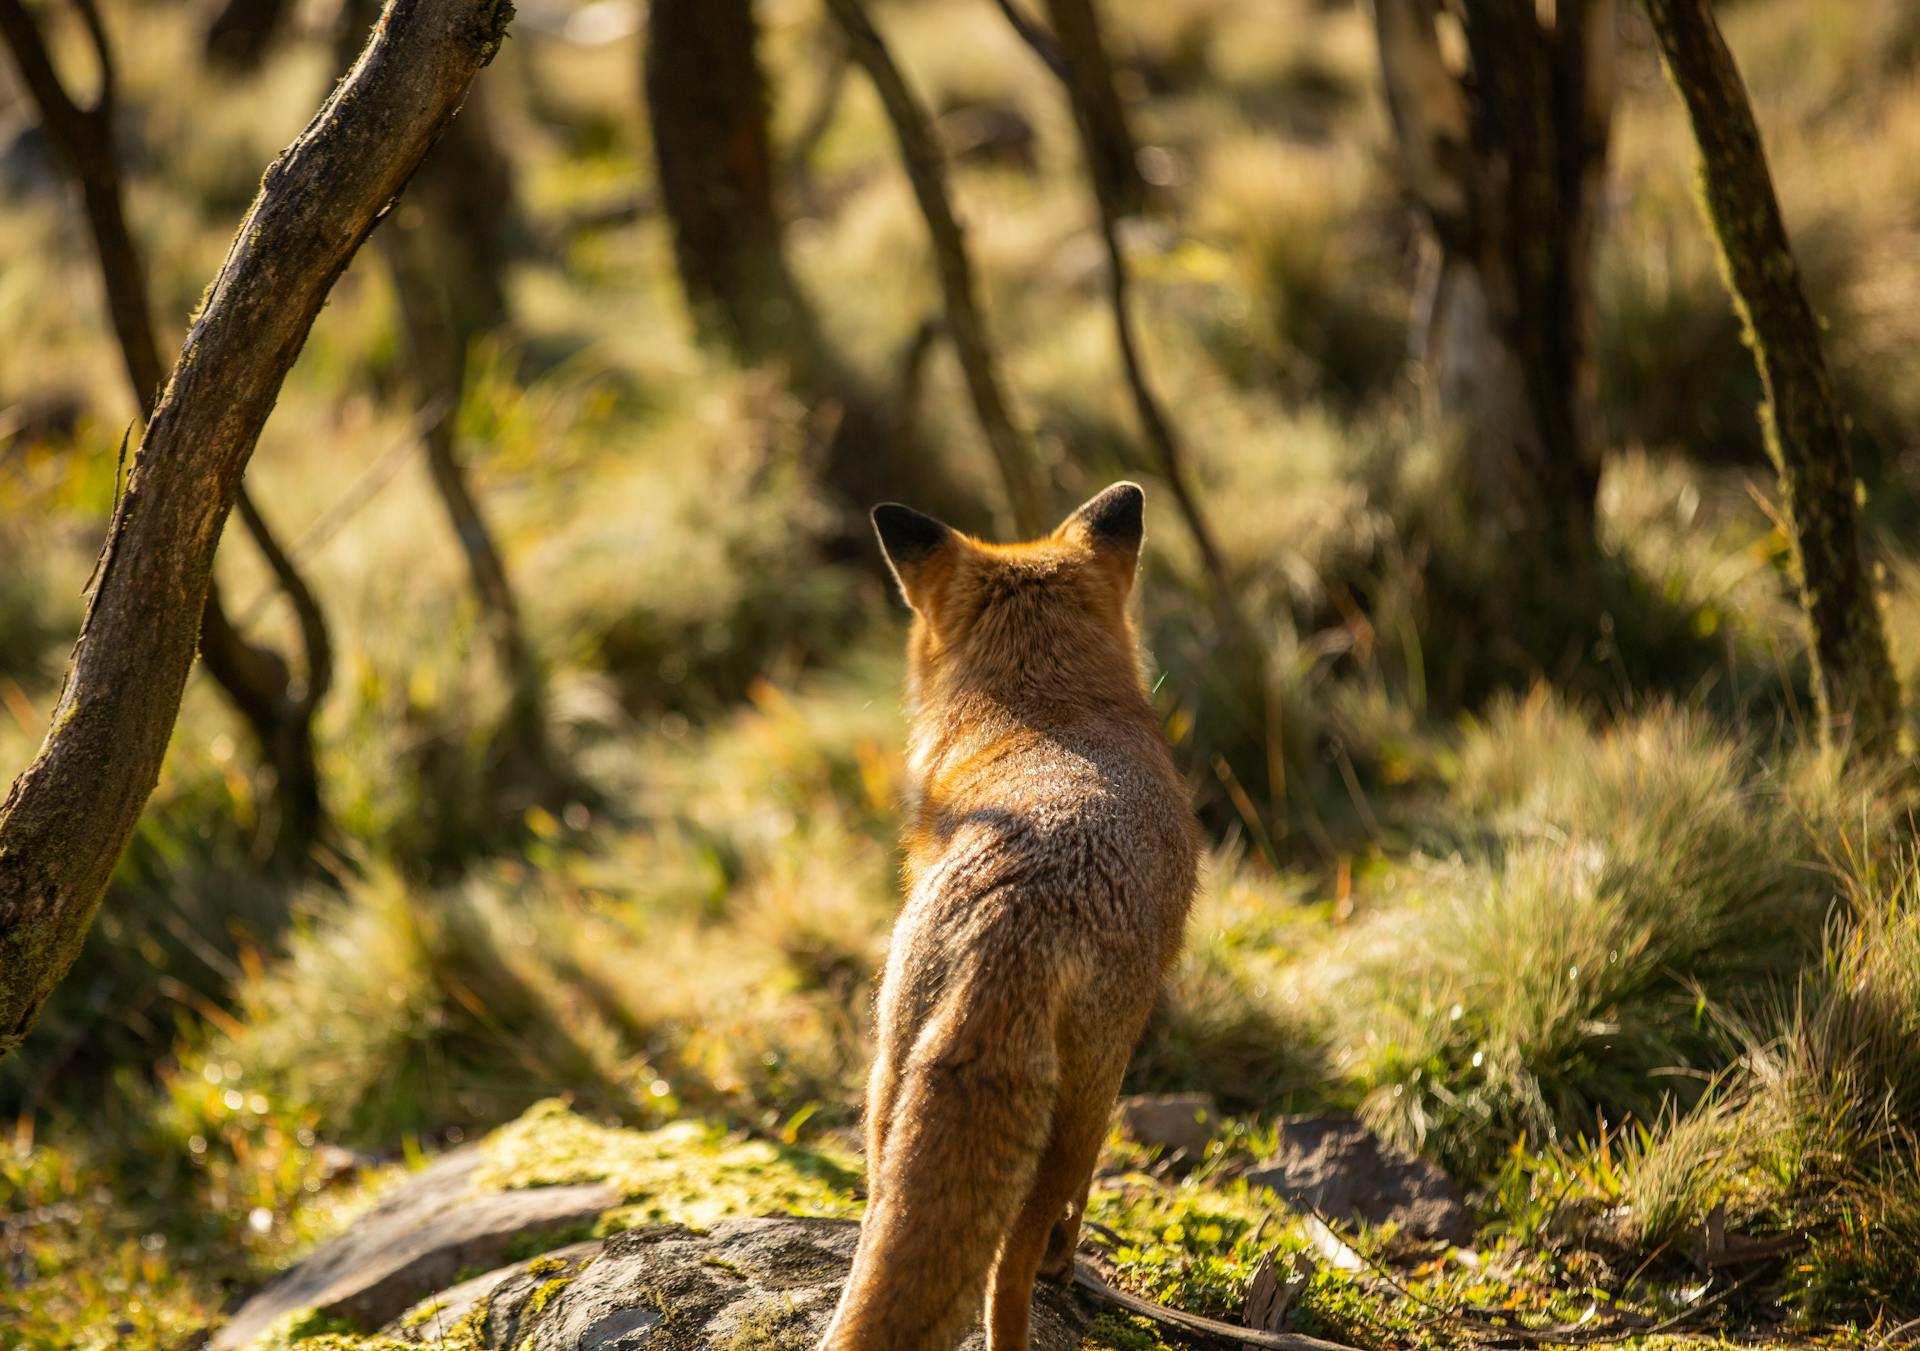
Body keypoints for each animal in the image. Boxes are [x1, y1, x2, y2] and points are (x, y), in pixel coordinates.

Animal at [821, 483, 1198, 1351]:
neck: (1041, 705)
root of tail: (1018, 919)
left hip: (891, 1076)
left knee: (887, 1218)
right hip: (1077, 1105)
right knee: (1008, 1265)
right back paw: (1043, 1287)